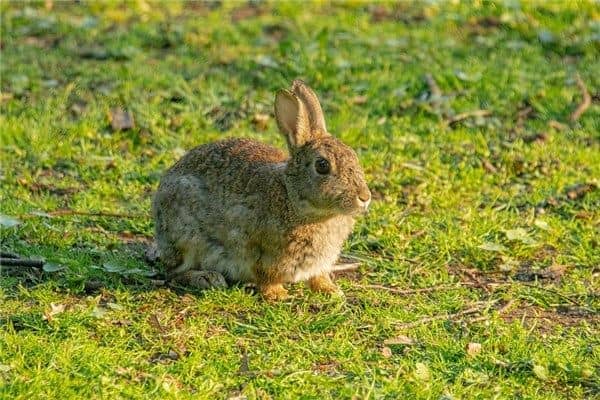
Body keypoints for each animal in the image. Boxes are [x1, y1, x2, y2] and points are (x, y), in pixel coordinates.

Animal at [154, 80, 370, 300]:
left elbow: (318, 276)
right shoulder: (259, 252)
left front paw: (332, 291)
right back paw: (208, 278)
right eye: (322, 165)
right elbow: (266, 277)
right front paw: (278, 295)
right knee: (173, 272)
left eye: (353, 155)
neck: (292, 198)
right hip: (186, 235)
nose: (365, 197)